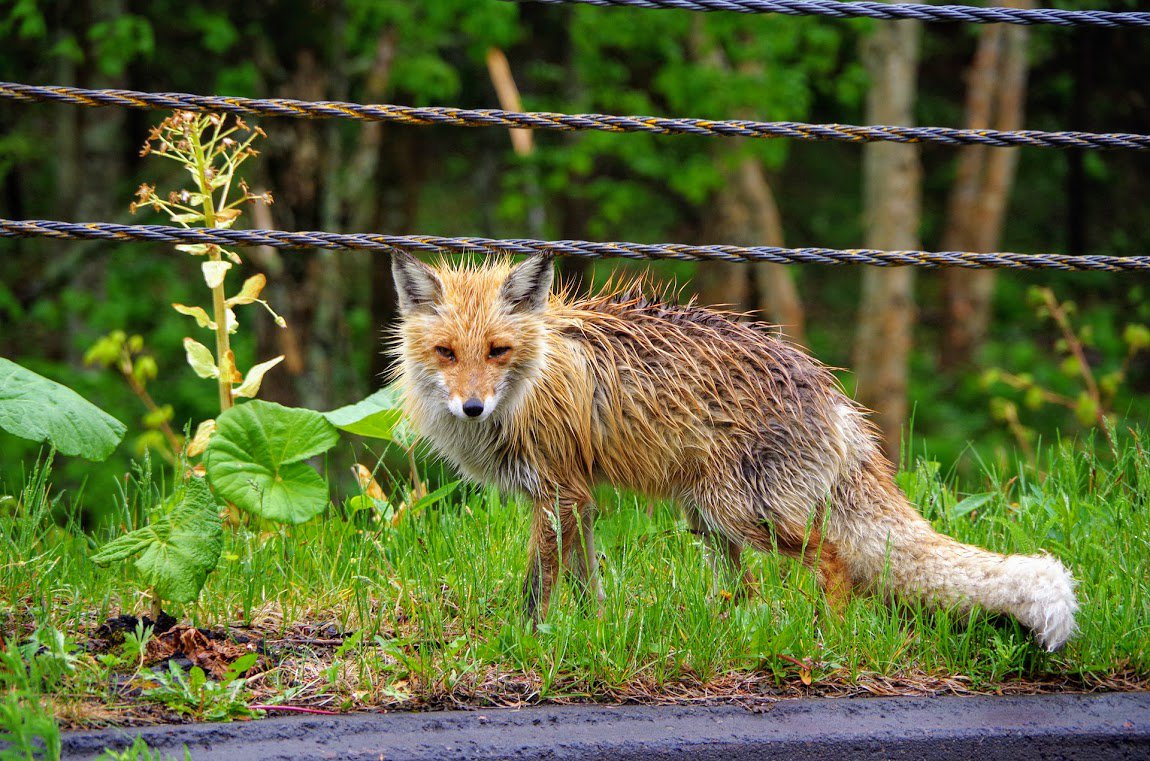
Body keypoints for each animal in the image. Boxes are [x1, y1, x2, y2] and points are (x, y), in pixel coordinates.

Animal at [390, 252, 1078, 651]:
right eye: (446, 352)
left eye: (498, 351)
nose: (471, 407)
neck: (527, 391)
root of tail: (832, 392)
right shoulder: (577, 500)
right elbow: (586, 588)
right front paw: (590, 635)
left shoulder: (559, 494)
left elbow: (537, 588)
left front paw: (525, 643)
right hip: (708, 519)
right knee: (745, 592)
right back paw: (734, 632)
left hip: (741, 513)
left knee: (833, 562)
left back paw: (827, 640)